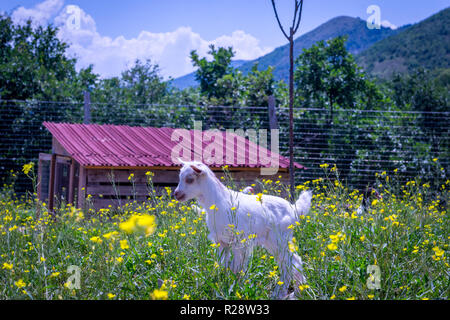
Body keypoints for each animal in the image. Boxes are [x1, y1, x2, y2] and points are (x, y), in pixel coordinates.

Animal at [174, 161, 312, 298]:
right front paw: (223, 284)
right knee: (289, 262)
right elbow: (224, 265)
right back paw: (294, 291)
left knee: (291, 262)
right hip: (272, 241)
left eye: (190, 179)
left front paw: (237, 288)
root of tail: (293, 209)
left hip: (279, 238)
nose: (176, 194)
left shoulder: (239, 242)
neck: (218, 202)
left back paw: (285, 293)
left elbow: (237, 267)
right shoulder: (221, 241)